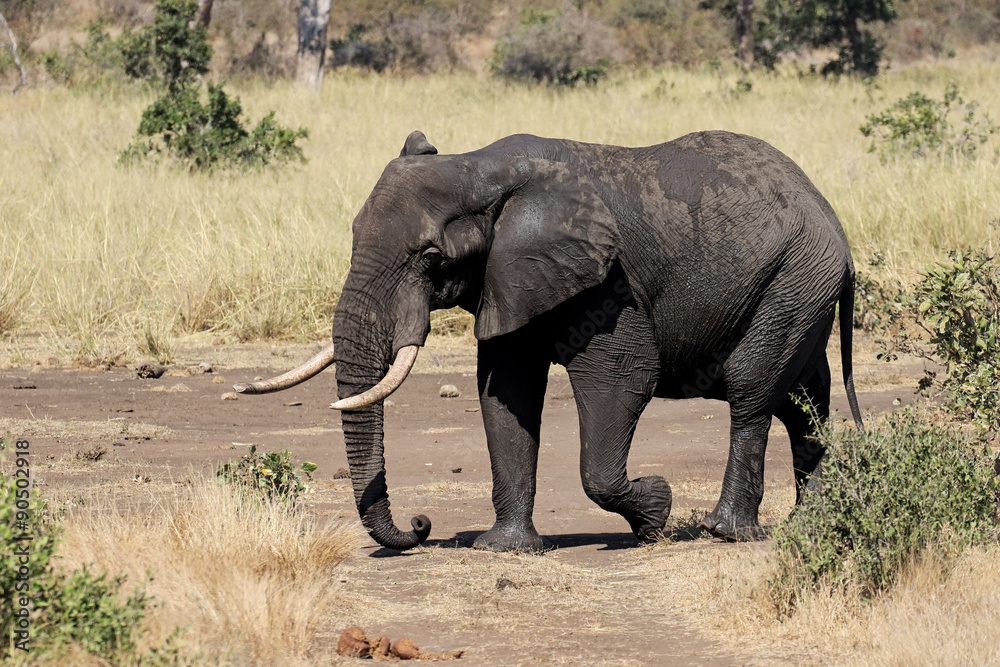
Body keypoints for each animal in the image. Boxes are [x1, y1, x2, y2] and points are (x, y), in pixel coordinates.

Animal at [236, 129, 864, 552]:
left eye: (430, 257)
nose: (421, 525)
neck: (482, 166)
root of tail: (828, 210)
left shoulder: (609, 284)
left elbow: (621, 380)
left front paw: (655, 512)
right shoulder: (505, 275)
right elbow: (503, 392)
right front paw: (505, 549)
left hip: (794, 276)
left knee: (752, 388)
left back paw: (724, 531)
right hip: (800, 285)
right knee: (804, 401)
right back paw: (811, 522)